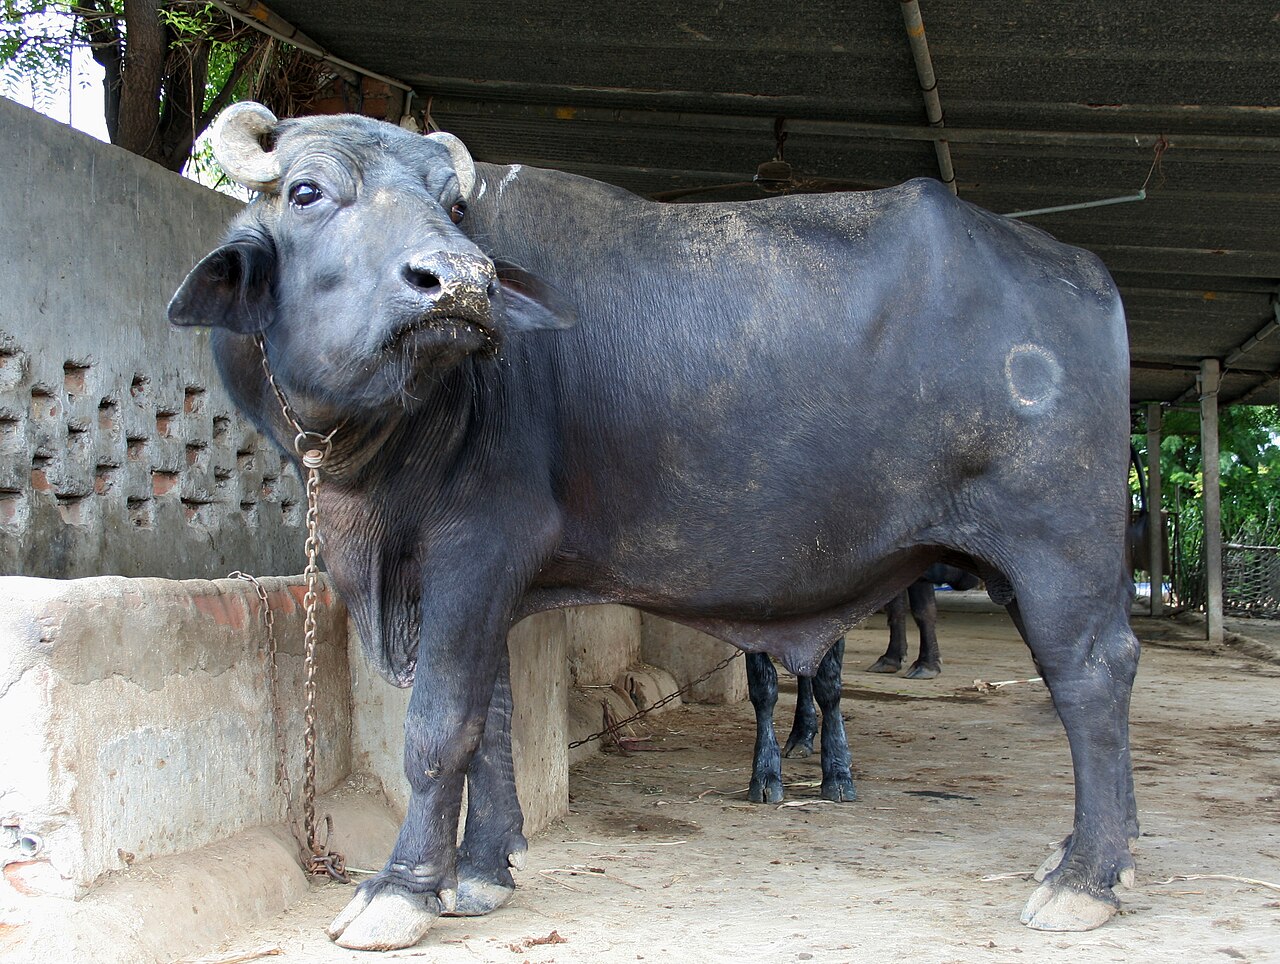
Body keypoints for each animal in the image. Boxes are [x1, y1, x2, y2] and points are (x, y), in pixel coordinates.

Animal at [169, 102, 1140, 950]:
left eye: (454, 206)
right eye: (307, 191)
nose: (461, 283)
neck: (389, 445)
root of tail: (1084, 274)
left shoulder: (472, 552)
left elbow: (442, 727)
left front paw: (403, 891)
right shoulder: (487, 585)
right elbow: (493, 716)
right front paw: (481, 872)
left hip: (1058, 548)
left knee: (1092, 674)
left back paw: (1083, 879)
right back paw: (1103, 858)